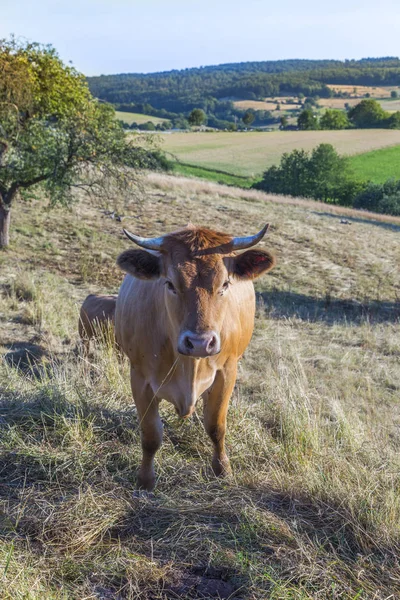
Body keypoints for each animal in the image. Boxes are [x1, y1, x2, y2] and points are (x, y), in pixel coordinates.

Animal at [114, 223, 274, 490]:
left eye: (225, 284)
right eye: (169, 283)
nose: (200, 343)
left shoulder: (227, 373)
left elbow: (216, 426)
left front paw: (223, 470)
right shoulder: (139, 378)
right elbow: (151, 435)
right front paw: (145, 480)